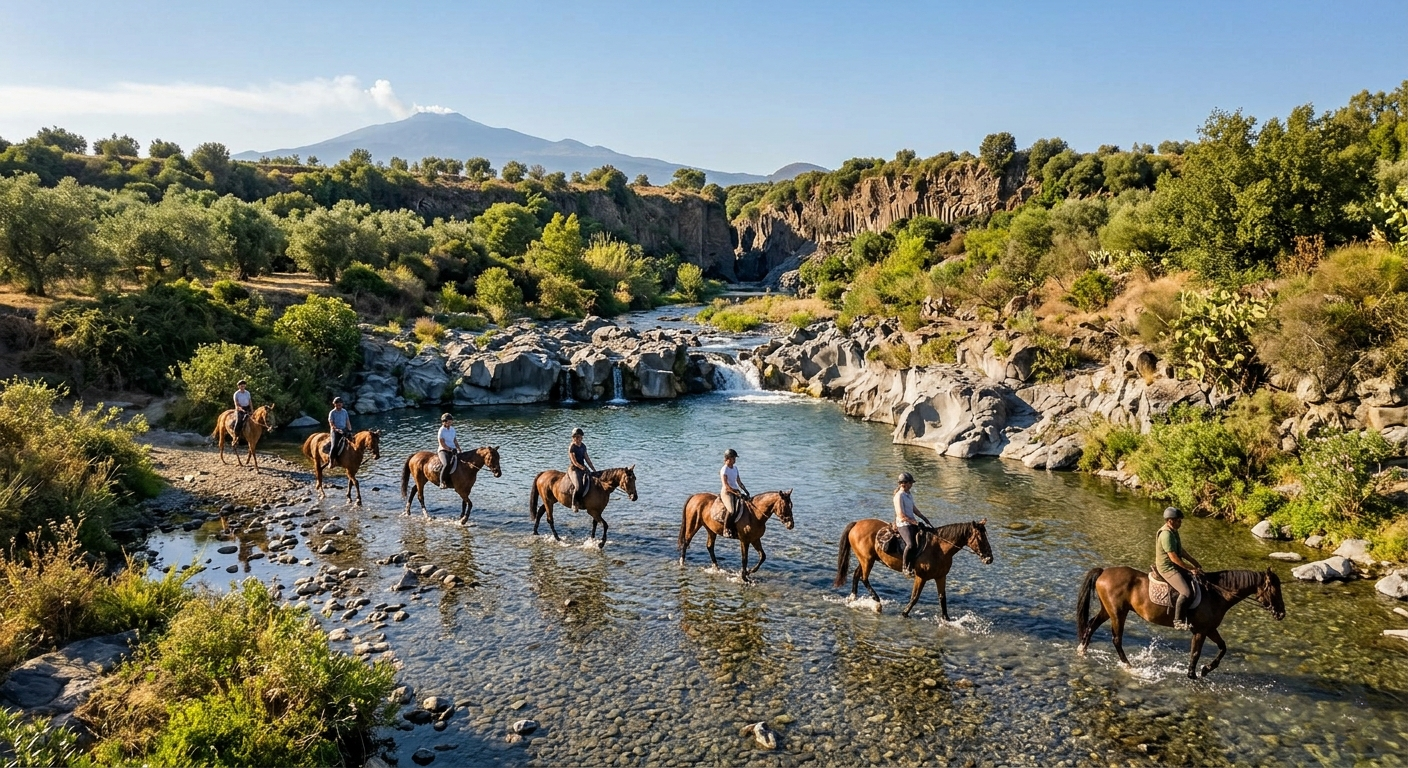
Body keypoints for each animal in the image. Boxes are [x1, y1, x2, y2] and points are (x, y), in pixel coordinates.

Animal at [834, 519, 993, 619]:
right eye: (981, 538)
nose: (990, 558)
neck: (939, 548)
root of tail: (857, 523)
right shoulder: (921, 577)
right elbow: (915, 597)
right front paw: (904, 613)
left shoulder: (941, 576)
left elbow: (942, 599)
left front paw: (947, 619)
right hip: (867, 560)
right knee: (864, 578)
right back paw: (877, 603)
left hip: (866, 559)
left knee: (856, 575)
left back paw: (853, 598)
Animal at [1076, 566, 1285, 679]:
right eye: (1274, 590)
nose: (1282, 614)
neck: (1216, 594)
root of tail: (1104, 572)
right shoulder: (1200, 631)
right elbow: (1196, 653)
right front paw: (1193, 674)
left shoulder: (1210, 629)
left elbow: (1223, 648)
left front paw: (1206, 670)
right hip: (1118, 613)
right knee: (1116, 639)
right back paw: (1128, 666)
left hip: (1109, 610)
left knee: (1092, 625)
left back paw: (1082, 650)